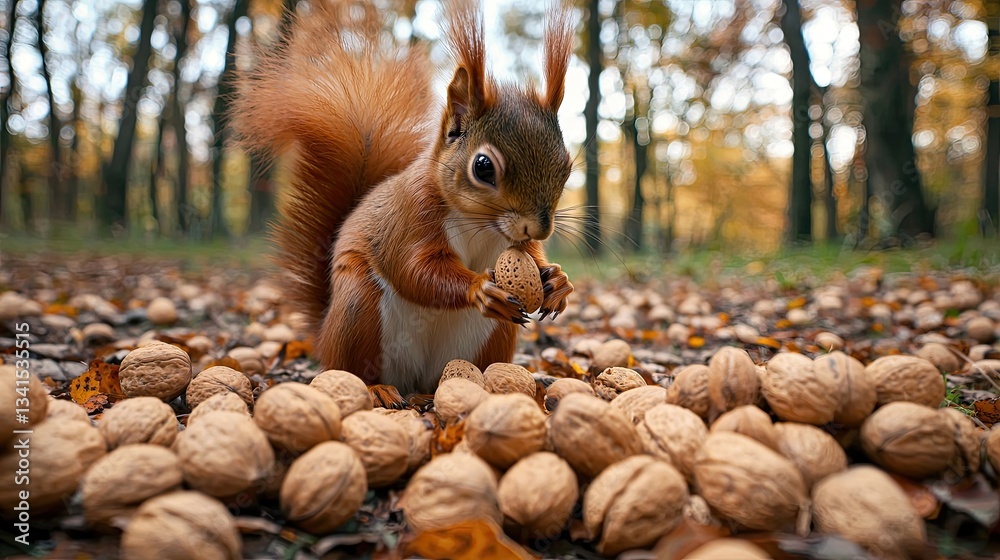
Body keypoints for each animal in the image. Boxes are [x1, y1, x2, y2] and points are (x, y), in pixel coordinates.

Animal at [233, 0, 575, 396]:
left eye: (567, 165)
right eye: (483, 167)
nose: (539, 228)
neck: (481, 224)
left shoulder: (517, 246)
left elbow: (533, 256)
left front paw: (558, 281)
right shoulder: (411, 215)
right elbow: (414, 269)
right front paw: (479, 289)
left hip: (492, 337)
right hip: (358, 305)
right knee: (353, 368)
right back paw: (376, 389)